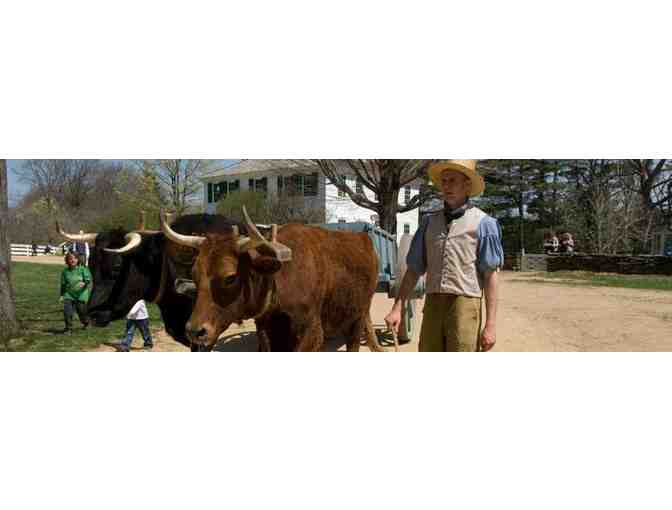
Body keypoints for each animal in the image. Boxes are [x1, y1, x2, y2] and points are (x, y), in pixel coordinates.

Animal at [160, 207, 384, 352]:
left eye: (230, 277)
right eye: (194, 275)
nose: (194, 331)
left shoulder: (312, 332)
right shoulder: (265, 331)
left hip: (358, 316)